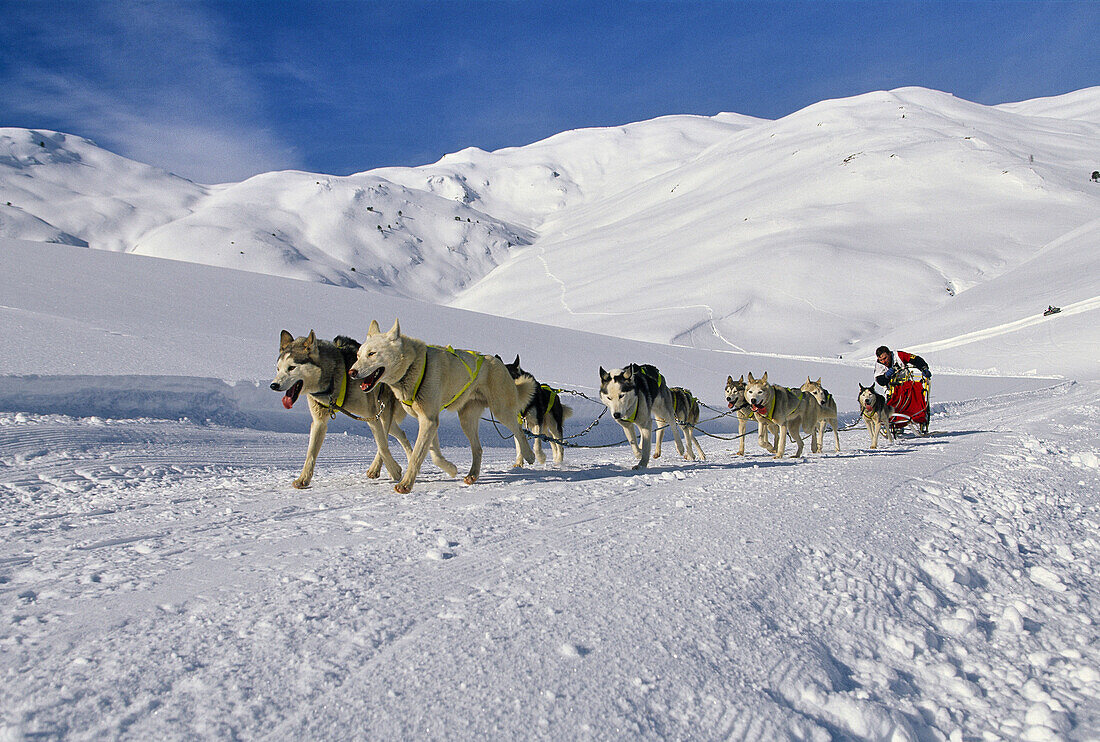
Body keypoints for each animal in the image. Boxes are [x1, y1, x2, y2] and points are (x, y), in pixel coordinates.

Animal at [272, 327, 457, 490]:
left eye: (292, 367)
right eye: (278, 368)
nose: (273, 385)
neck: (334, 376)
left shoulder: (372, 415)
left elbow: (382, 446)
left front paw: (394, 470)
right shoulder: (319, 422)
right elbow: (310, 453)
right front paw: (303, 479)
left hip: (384, 412)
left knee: (386, 439)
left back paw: (379, 468)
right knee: (402, 435)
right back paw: (409, 456)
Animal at [347, 320, 536, 490]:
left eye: (372, 353)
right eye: (358, 356)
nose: (351, 372)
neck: (413, 365)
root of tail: (499, 363)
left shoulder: (429, 420)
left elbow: (416, 455)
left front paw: (405, 484)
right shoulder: (428, 420)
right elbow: (434, 455)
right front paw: (451, 469)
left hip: (500, 411)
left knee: (519, 431)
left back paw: (529, 455)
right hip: (466, 420)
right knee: (478, 448)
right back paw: (472, 475)